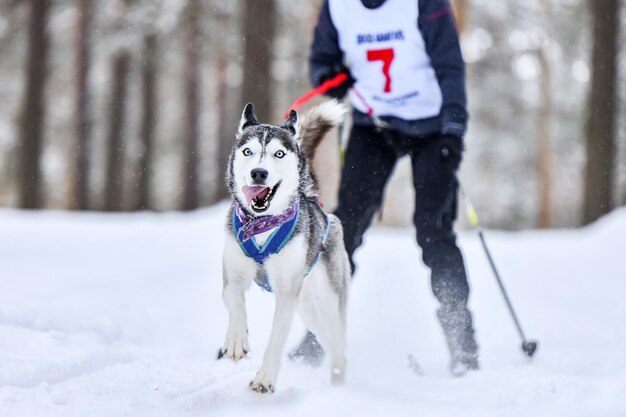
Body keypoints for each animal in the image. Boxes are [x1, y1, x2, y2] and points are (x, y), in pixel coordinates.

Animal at [218, 99, 346, 392]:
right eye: (248, 151)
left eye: (278, 153)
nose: (258, 172)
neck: (261, 224)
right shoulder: (233, 276)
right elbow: (235, 302)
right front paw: (236, 340)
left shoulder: (287, 292)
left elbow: (276, 339)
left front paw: (264, 378)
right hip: (307, 308)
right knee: (325, 338)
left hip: (329, 299)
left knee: (338, 343)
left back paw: (339, 382)